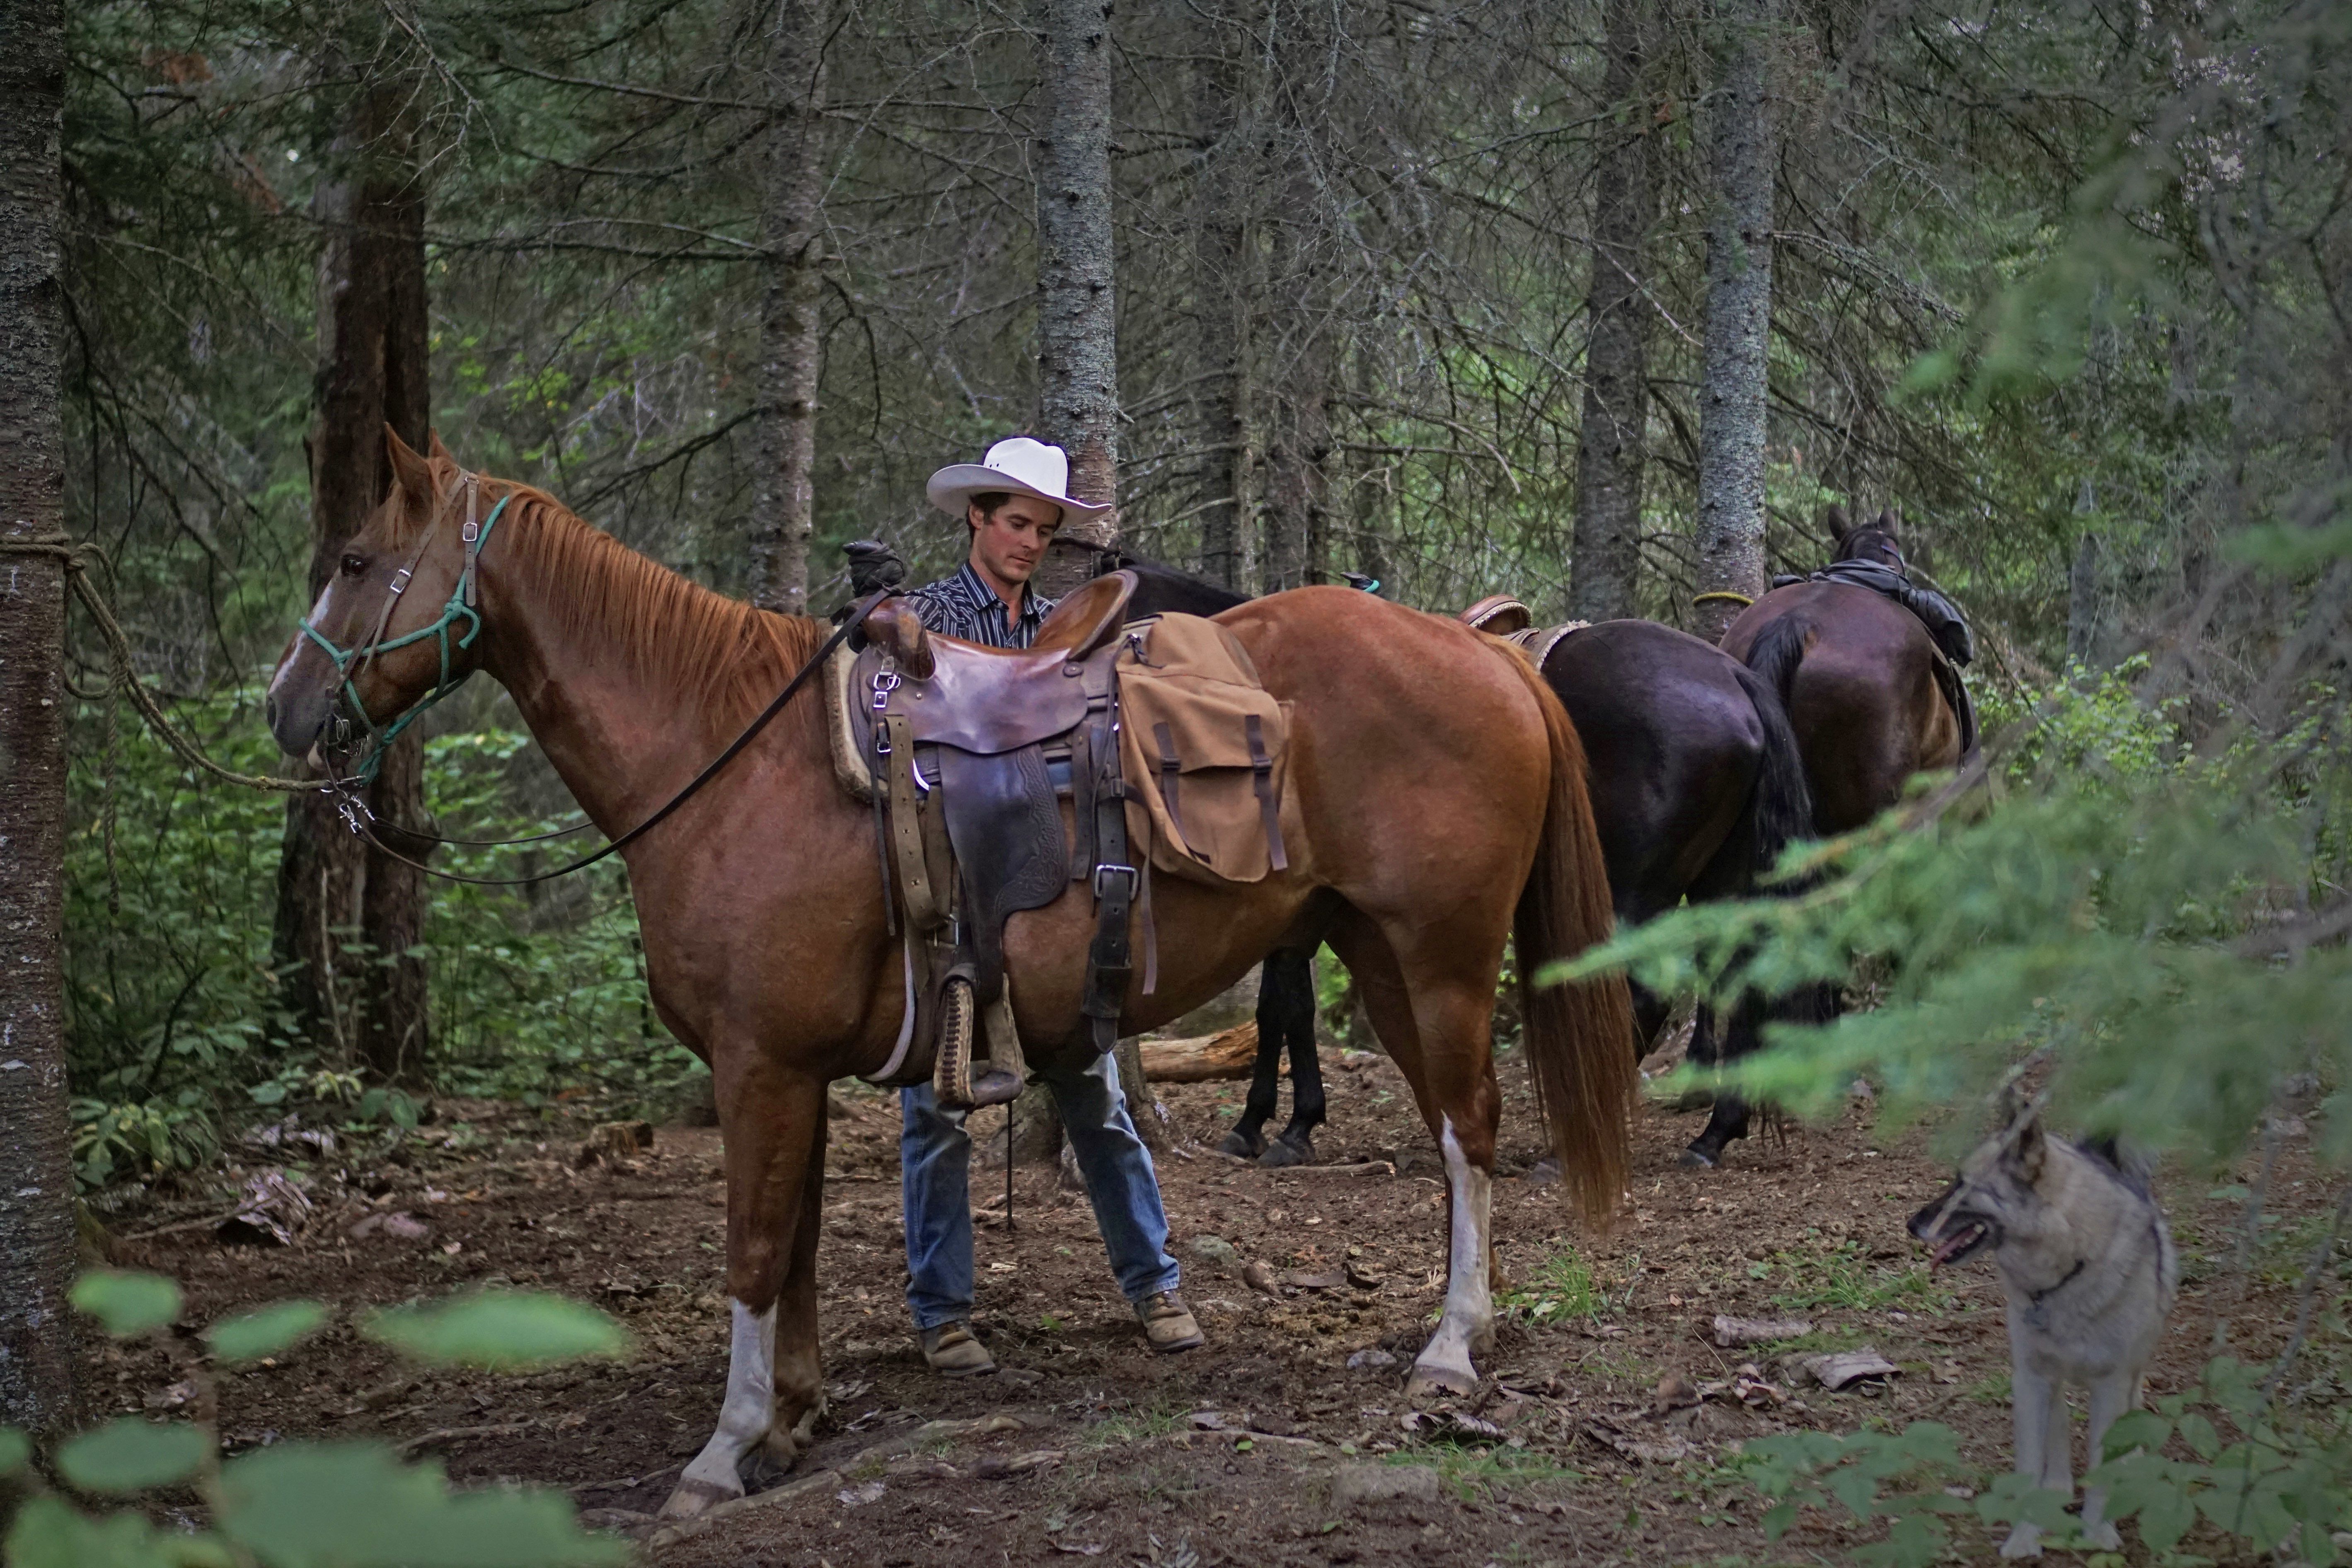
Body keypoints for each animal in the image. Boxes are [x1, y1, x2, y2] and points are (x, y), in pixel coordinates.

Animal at [262, 432, 1637, 1523]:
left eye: (352, 559)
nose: (282, 707)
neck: (728, 763)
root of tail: (1488, 655)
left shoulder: (758, 1066)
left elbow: (752, 1250)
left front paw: (720, 1451)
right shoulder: (793, 1069)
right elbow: (799, 1243)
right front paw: (795, 1420)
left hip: (1440, 956)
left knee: (1469, 1127)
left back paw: (1450, 1350)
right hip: (1373, 950)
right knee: (1451, 1128)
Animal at [1900, 1105, 2173, 1561]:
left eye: (1965, 1184)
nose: (1911, 1223)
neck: (2063, 1276)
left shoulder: (2110, 1384)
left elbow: (2102, 1466)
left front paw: (2096, 1532)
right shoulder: (2029, 1378)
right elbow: (2030, 1464)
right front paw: (2025, 1537)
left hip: (2135, 1361)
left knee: (2134, 1404)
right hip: (2048, 1377)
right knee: (2058, 1427)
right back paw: (2057, 1488)